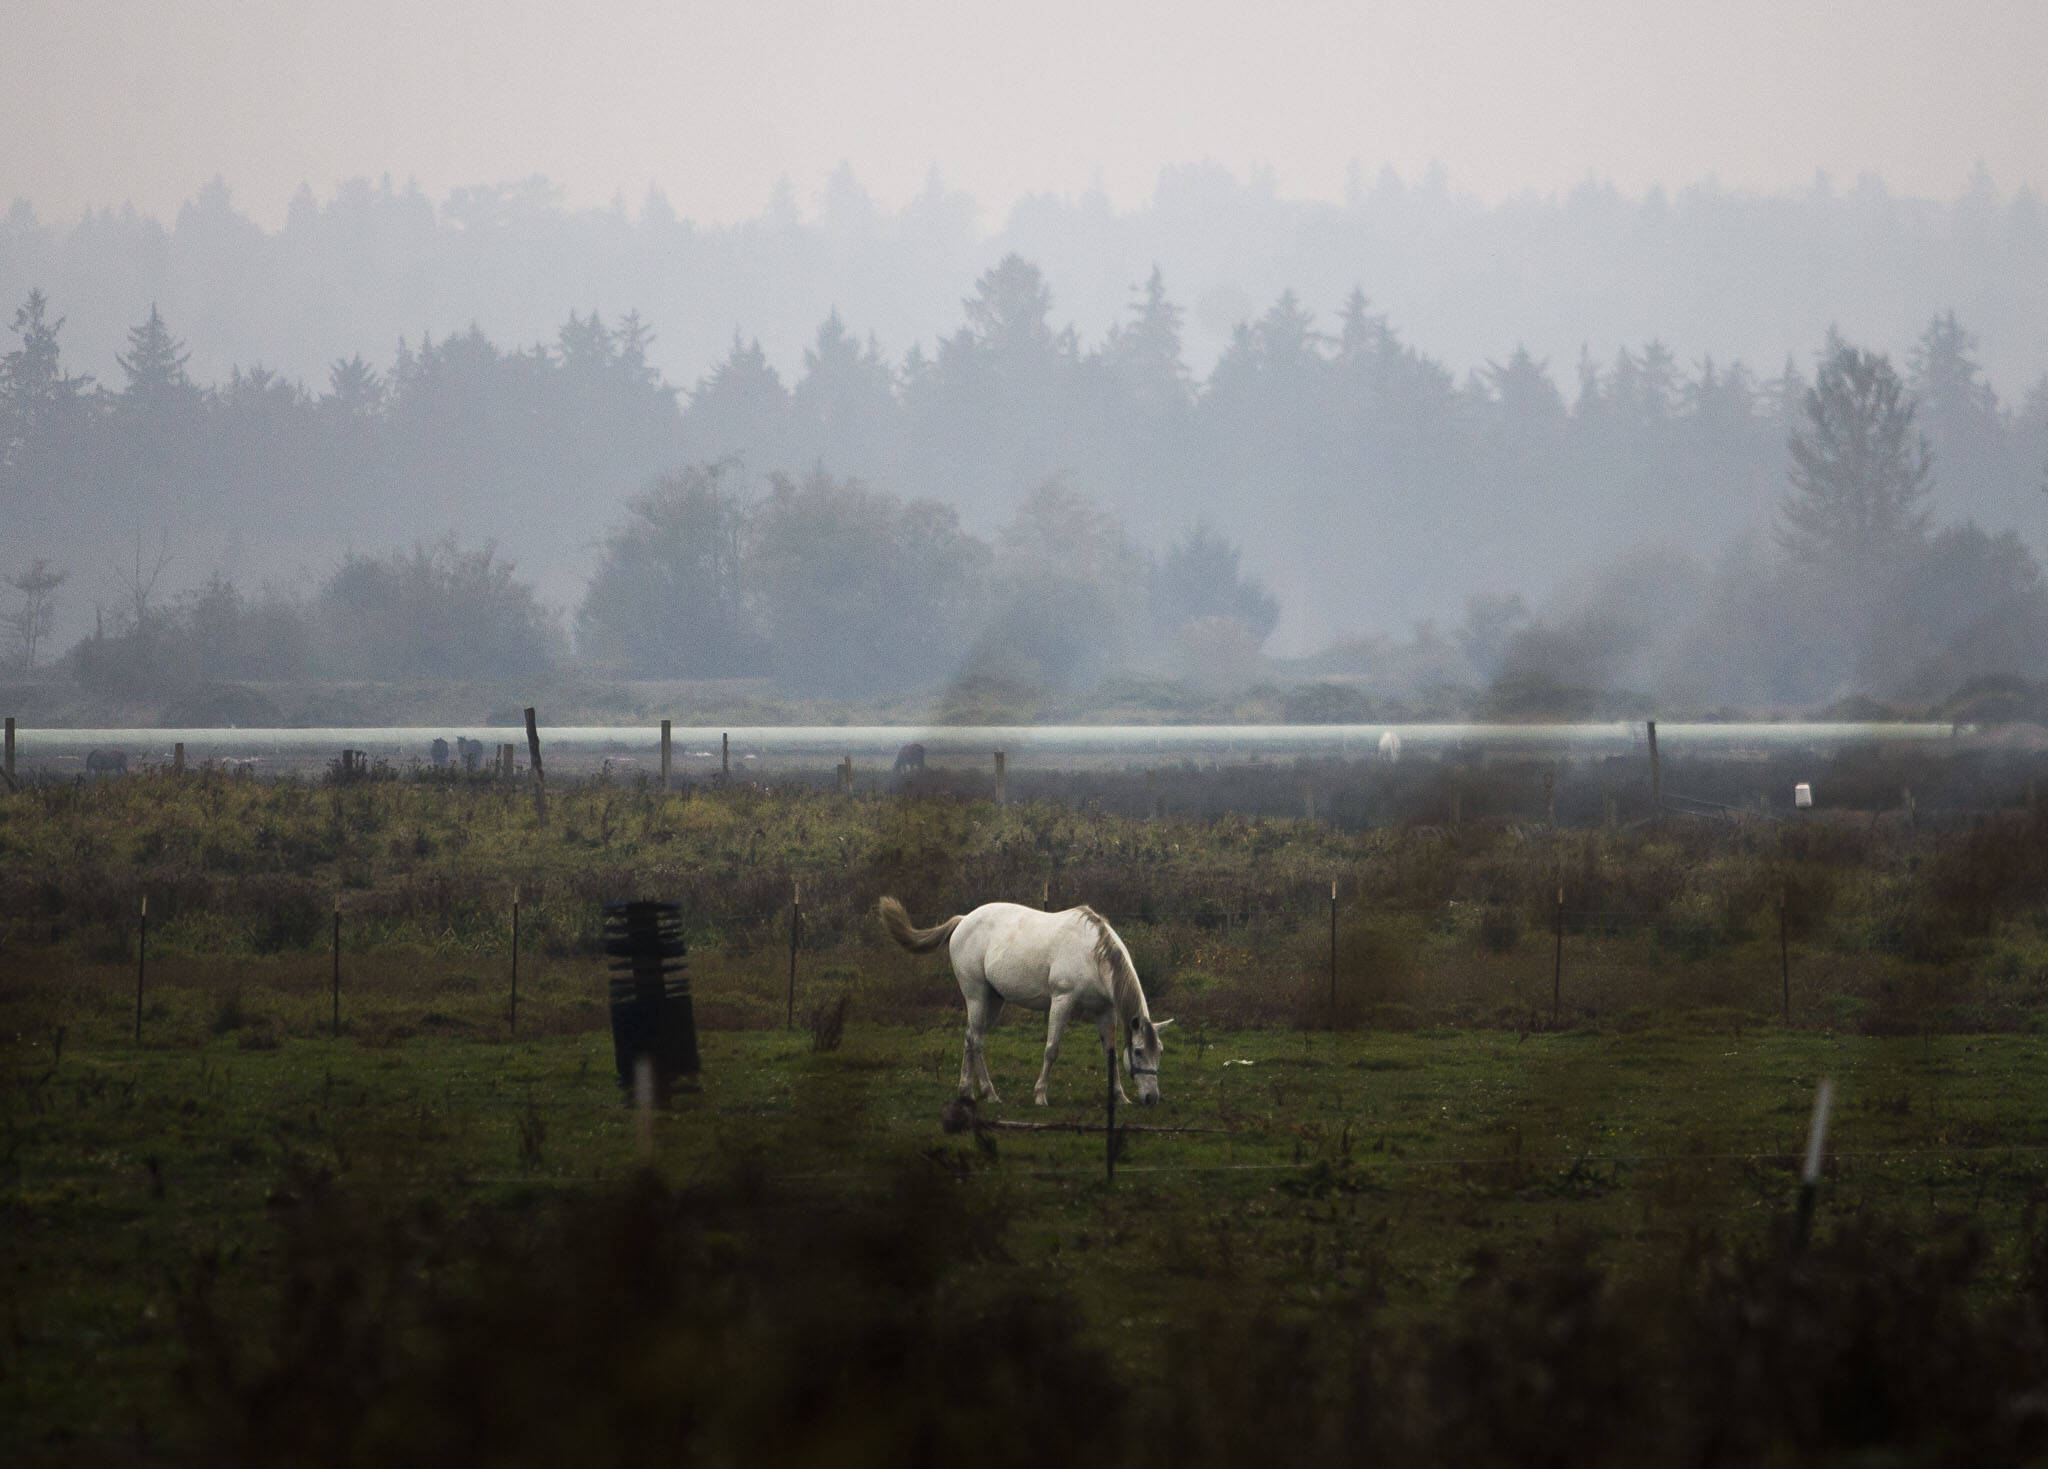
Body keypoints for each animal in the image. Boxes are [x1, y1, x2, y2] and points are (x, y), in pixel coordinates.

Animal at [876, 889, 1179, 1106]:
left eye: (1160, 1052)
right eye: (1138, 1051)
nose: (1151, 1099)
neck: (1092, 954)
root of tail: (963, 920)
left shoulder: (1104, 1011)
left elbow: (1110, 1053)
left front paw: (1119, 1096)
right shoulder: (1062, 1001)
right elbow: (1052, 1049)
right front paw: (1040, 1095)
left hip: (993, 999)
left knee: (971, 1037)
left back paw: (966, 1092)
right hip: (976, 995)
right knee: (977, 1040)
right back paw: (990, 1093)